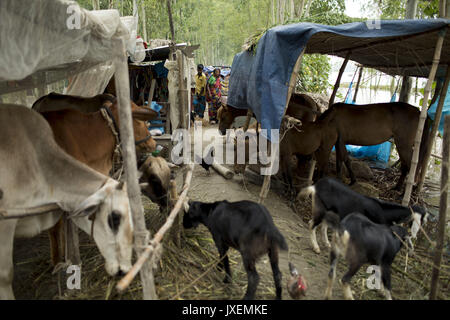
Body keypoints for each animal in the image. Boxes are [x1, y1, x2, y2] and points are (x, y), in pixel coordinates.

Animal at [300, 176, 428, 254]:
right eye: (418, 220)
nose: (415, 236)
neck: (383, 212)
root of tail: (316, 186)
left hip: (331, 212)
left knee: (324, 226)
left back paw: (327, 244)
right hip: (320, 208)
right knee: (312, 224)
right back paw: (316, 248)